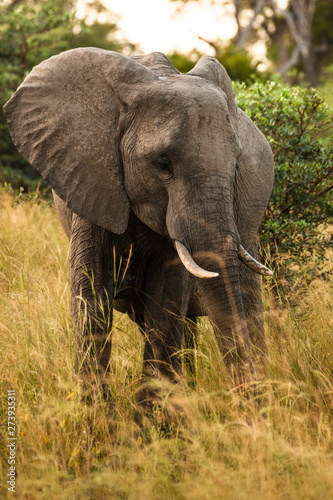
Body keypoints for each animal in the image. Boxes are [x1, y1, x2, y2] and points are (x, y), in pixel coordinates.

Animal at [3, 48, 274, 412]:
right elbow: (91, 293)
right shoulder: (92, 179)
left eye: (236, 167)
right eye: (162, 165)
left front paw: (149, 424)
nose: (250, 414)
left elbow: (166, 300)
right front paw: (100, 420)